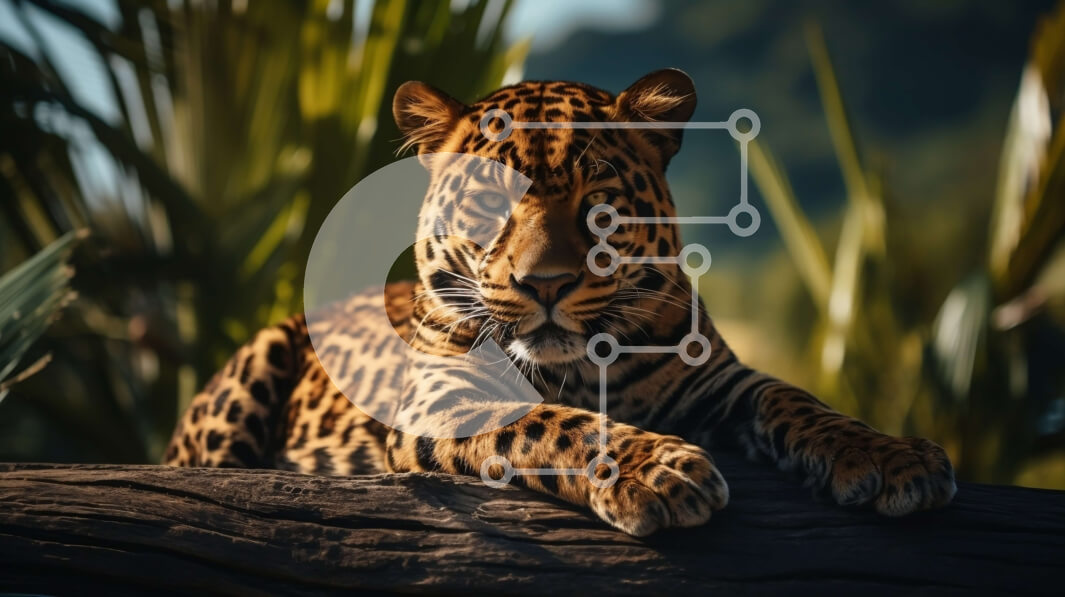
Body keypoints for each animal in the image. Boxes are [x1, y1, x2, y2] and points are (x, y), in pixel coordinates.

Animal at [164, 69, 956, 536]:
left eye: (596, 199)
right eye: (489, 202)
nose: (544, 283)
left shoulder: (719, 380)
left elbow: (800, 402)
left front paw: (891, 455)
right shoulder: (443, 397)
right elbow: (555, 424)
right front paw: (656, 470)